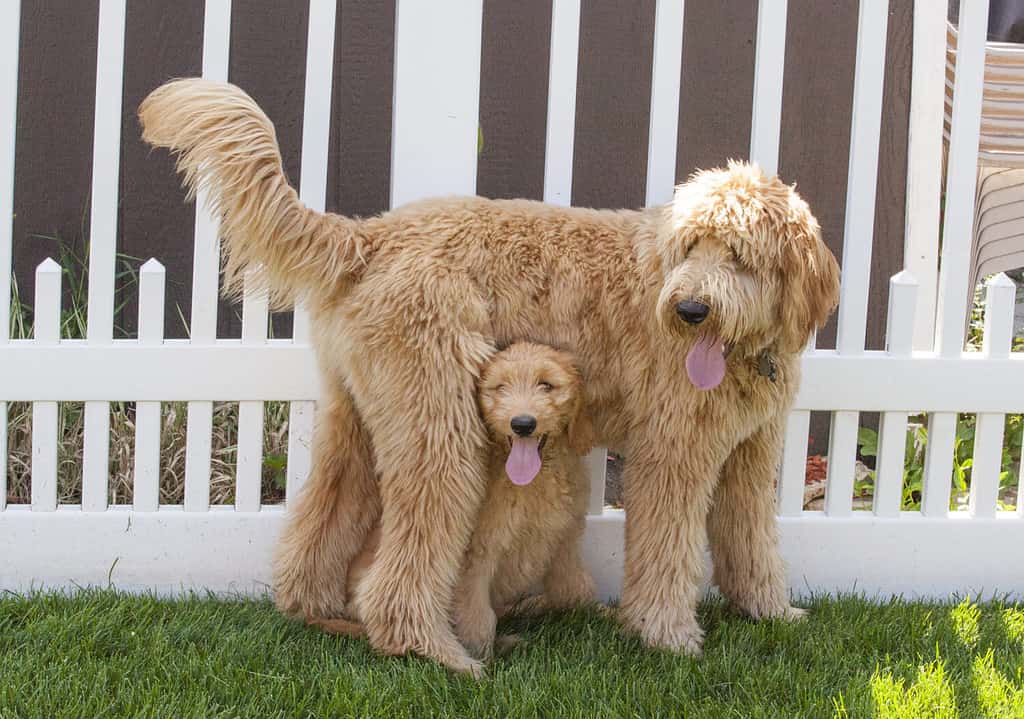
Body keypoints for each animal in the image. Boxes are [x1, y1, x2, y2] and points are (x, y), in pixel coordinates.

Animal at [315, 344, 598, 671]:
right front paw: (483, 659)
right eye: (500, 387)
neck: (534, 481)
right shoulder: (477, 556)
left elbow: (575, 589)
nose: (523, 424)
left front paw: (598, 612)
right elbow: (478, 617)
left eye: (546, 385)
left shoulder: (566, 537)